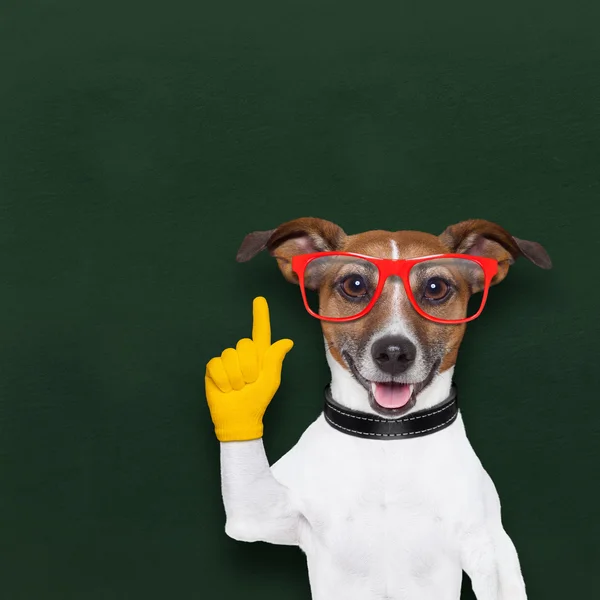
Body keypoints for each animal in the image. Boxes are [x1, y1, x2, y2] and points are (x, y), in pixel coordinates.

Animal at [212, 217, 552, 600]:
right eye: (354, 285)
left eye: (436, 287)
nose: (392, 352)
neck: (389, 440)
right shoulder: (262, 514)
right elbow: (249, 509)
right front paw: (243, 389)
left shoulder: (489, 547)